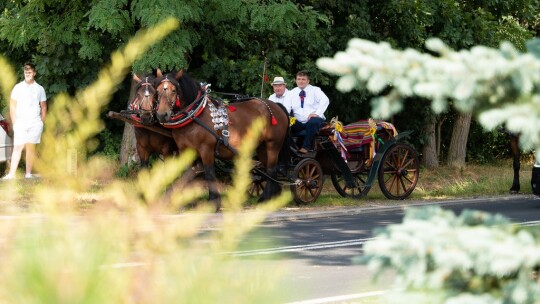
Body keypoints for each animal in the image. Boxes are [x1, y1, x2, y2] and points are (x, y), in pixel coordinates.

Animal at [154, 70, 288, 210]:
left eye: (174, 90)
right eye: (157, 91)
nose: (162, 115)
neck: (194, 116)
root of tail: (277, 106)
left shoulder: (206, 149)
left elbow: (209, 173)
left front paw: (213, 202)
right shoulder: (185, 150)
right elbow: (187, 174)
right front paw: (187, 203)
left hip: (273, 145)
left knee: (271, 170)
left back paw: (265, 199)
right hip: (262, 147)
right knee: (268, 170)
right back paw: (273, 197)